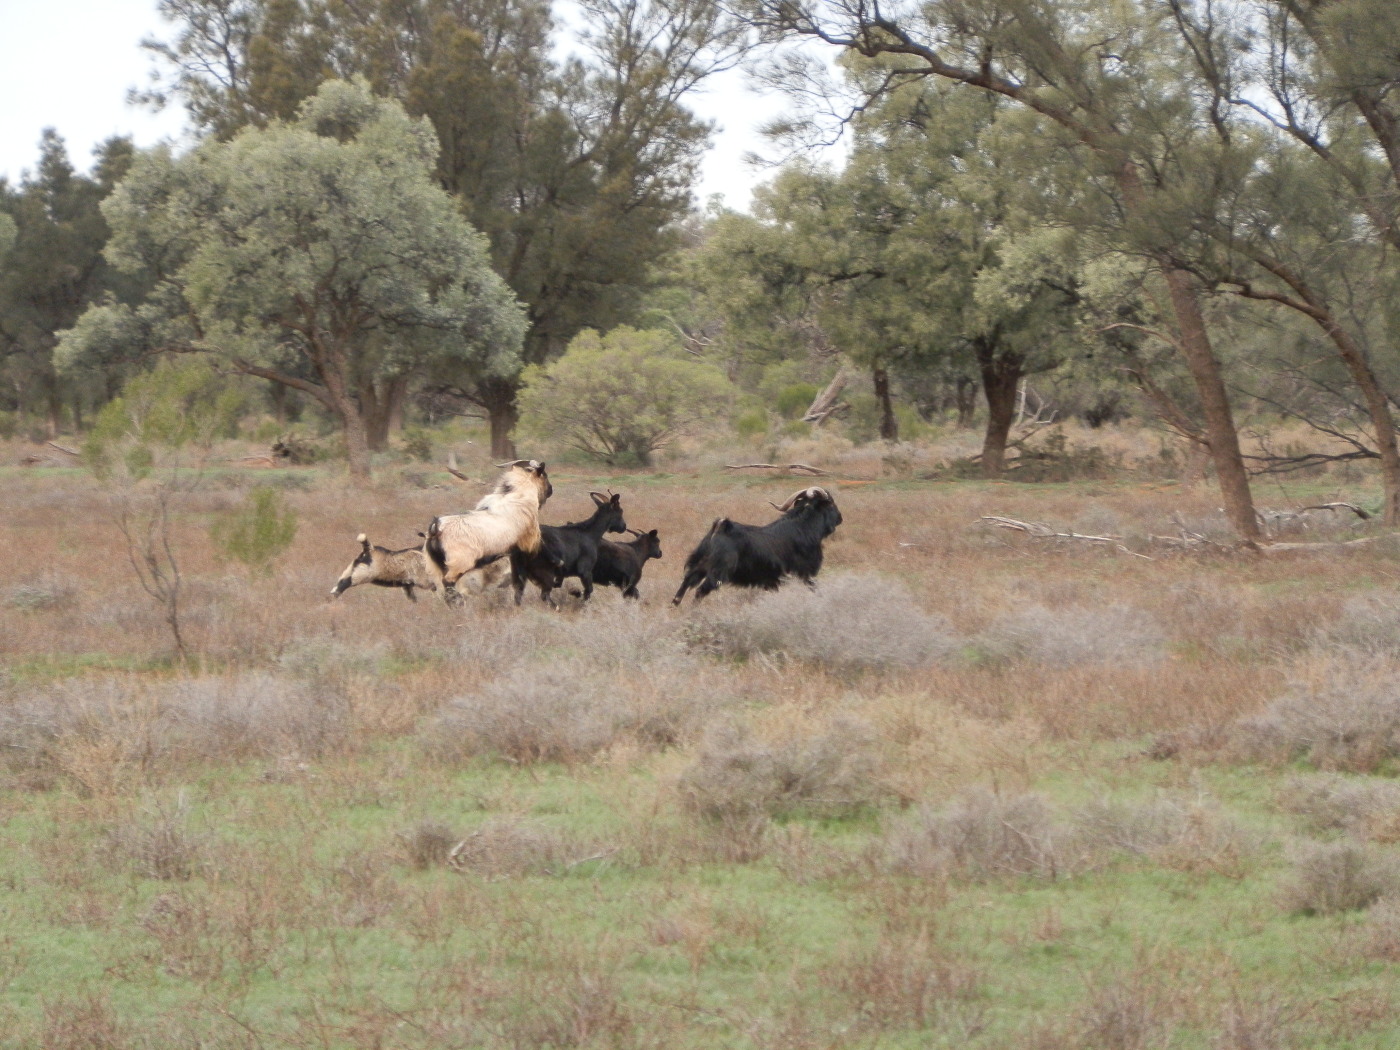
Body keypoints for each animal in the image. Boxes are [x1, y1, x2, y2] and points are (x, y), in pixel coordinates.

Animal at [423, 459, 553, 607]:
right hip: (457, 566)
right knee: (448, 585)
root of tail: (436, 529)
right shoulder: (527, 547)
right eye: (544, 474)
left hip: (436, 567)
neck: (517, 496)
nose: (551, 489)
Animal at [671, 486, 842, 604]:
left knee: (686, 582)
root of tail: (721, 527)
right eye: (831, 503)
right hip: (717, 572)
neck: (802, 527)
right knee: (700, 591)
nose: (840, 518)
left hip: (700, 565)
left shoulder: (773, 581)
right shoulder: (804, 574)